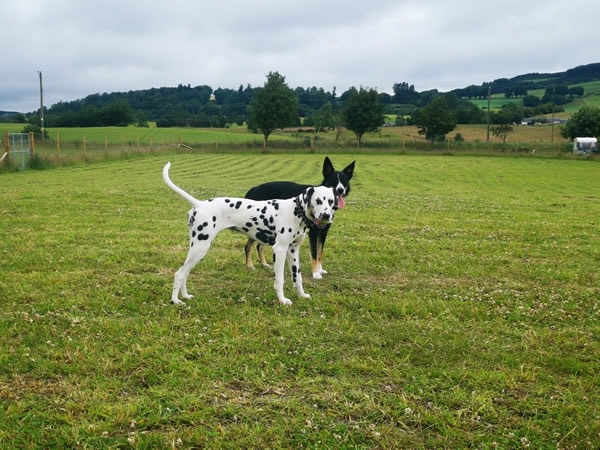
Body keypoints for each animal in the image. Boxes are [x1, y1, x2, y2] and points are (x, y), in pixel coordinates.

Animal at [163, 163, 338, 308]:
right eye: (318, 200)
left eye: (330, 201)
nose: (326, 216)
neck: (296, 211)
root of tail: (199, 204)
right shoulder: (280, 250)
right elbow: (280, 280)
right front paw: (282, 300)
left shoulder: (293, 251)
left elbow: (298, 277)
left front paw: (302, 295)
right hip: (200, 248)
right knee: (179, 274)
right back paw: (176, 301)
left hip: (197, 250)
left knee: (185, 273)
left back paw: (185, 296)